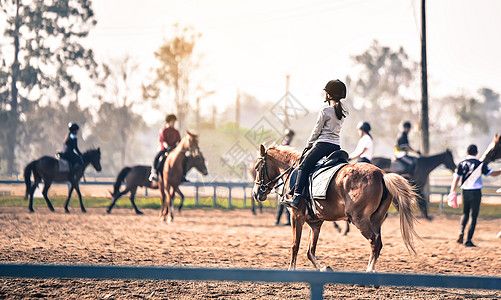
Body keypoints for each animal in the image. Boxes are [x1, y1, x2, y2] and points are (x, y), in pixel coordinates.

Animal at [250, 144, 418, 274]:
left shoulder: (296, 217)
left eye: (258, 168)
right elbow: (310, 251)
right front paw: (323, 268)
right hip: (376, 220)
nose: (256, 193)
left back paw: (370, 270)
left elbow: (295, 245)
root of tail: (382, 174)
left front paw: (291, 270)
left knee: (374, 241)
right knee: (378, 244)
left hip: (360, 220)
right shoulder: (315, 223)